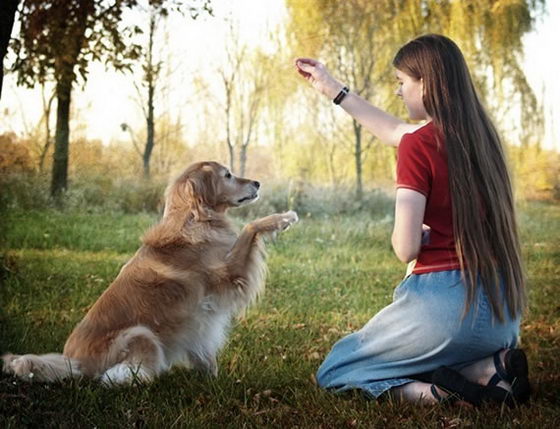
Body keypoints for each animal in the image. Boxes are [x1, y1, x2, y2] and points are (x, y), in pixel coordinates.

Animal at [3, 161, 298, 384]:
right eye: (227, 175)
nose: (257, 183)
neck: (193, 219)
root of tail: (73, 361)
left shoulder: (201, 314)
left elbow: (204, 349)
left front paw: (212, 378)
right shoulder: (226, 278)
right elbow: (250, 227)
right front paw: (282, 218)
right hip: (139, 333)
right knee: (115, 376)